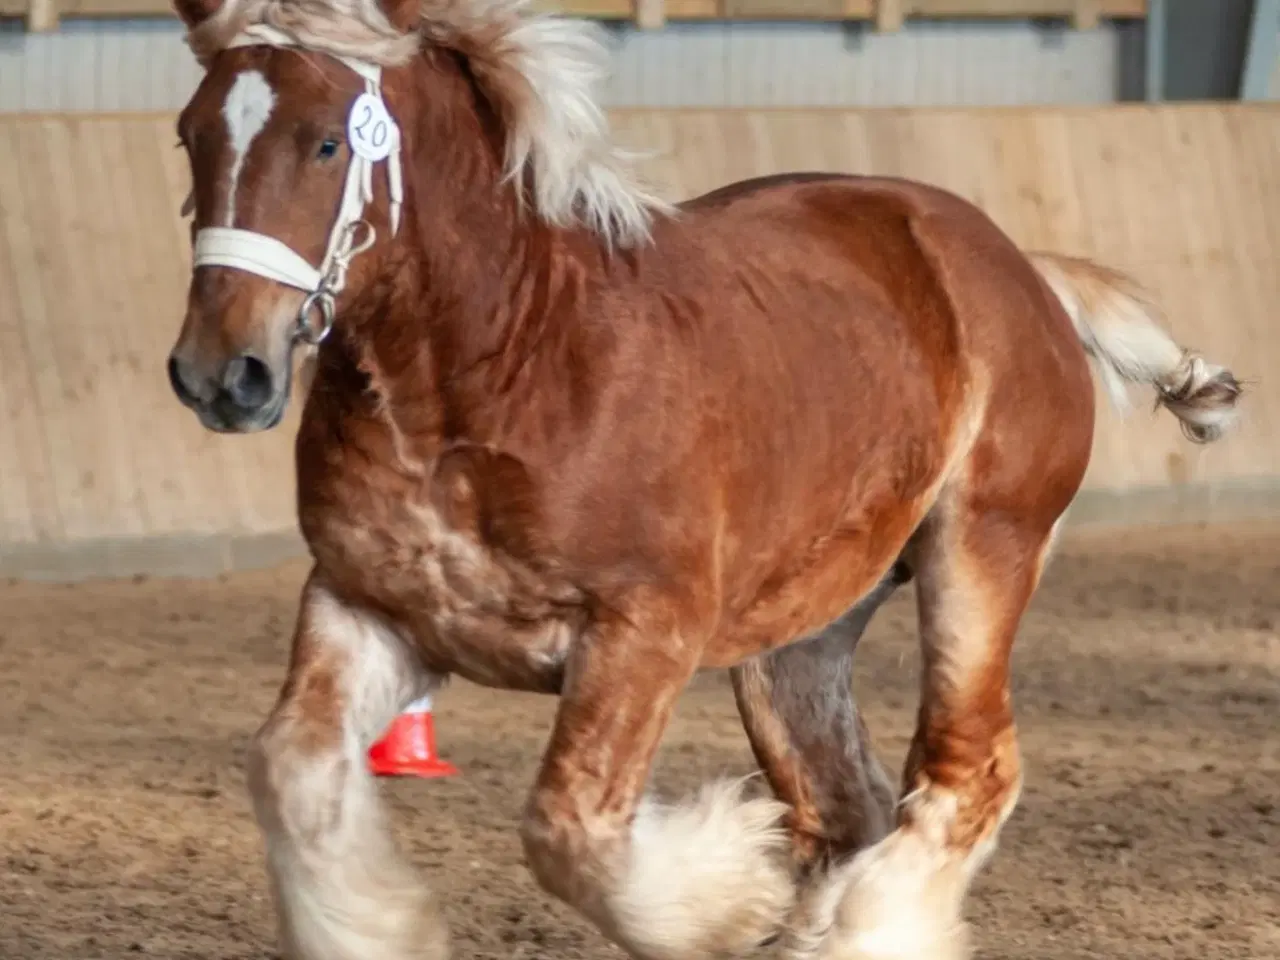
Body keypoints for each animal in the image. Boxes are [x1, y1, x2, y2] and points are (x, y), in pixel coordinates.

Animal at [165, 1, 1244, 960]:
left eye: (324, 144)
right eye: (190, 135)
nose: (221, 373)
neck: (503, 366)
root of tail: (1024, 270)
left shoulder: (643, 632)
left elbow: (573, 833)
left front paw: (734, 895)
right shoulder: (370, 609)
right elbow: (291, 769)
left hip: (980, 554)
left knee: (965, 771)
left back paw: (861, 929)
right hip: (797, 640)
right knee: (846, 804)